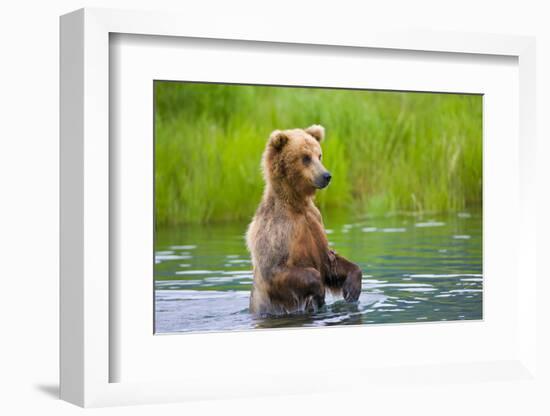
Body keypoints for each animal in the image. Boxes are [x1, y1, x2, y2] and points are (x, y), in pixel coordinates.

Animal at [248, 124, 364, 316]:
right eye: (305, 158)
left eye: (319, 155)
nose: (326, 175)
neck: (296, 204)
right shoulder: (277, 231)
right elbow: (275, 269)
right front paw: (319, 292)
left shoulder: (314, 222)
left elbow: (330, 263)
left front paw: (352, 288)